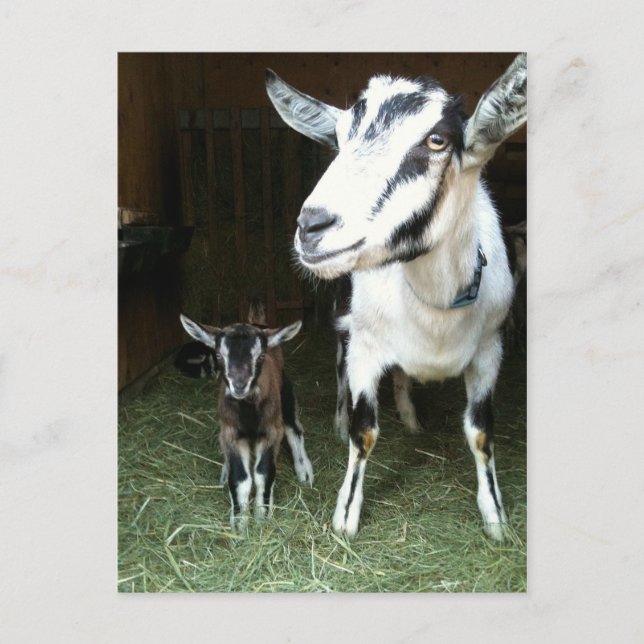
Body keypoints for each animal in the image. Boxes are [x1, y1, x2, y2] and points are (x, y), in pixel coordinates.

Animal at [179, 313, 314, 529]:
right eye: (219, 356)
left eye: (260, 356)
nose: (239, 385)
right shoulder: (230, 432)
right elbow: (240, 477)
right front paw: (240, 522)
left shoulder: (271, 431)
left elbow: (263, 473)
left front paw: (262, 515)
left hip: (286, 392)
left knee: (294, 428)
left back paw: (304, 471)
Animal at [266, 53, 527, 540]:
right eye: (339, 139)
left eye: (437, 139)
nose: (312, 226)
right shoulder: (365, 347)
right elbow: (364, 431)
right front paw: (345, 517)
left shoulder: (490, 348)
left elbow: (481, 432)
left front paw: (495, 518)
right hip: (344, 321)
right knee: (339, 369)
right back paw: (338, 419)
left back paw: (410, 418)